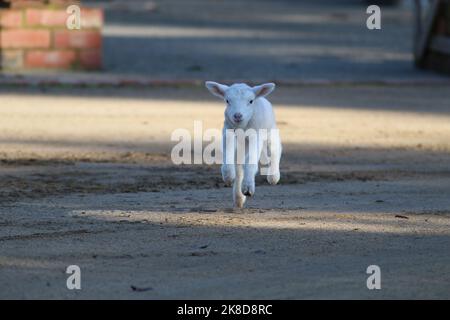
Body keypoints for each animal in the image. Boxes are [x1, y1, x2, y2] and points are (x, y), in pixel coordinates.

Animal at [207, 81, 284, 209]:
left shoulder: (256, 135)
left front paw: (248, 188)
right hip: (242, 146)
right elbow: (229, 156)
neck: (242, 127)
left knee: (275, 149)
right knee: (239, 166)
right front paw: (228, 176)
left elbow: (250, 162)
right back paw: (238, 198)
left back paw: (273, 177)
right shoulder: (228, 131)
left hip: (271, 131)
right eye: (227, 100)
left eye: (251, 101)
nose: (237, 115)